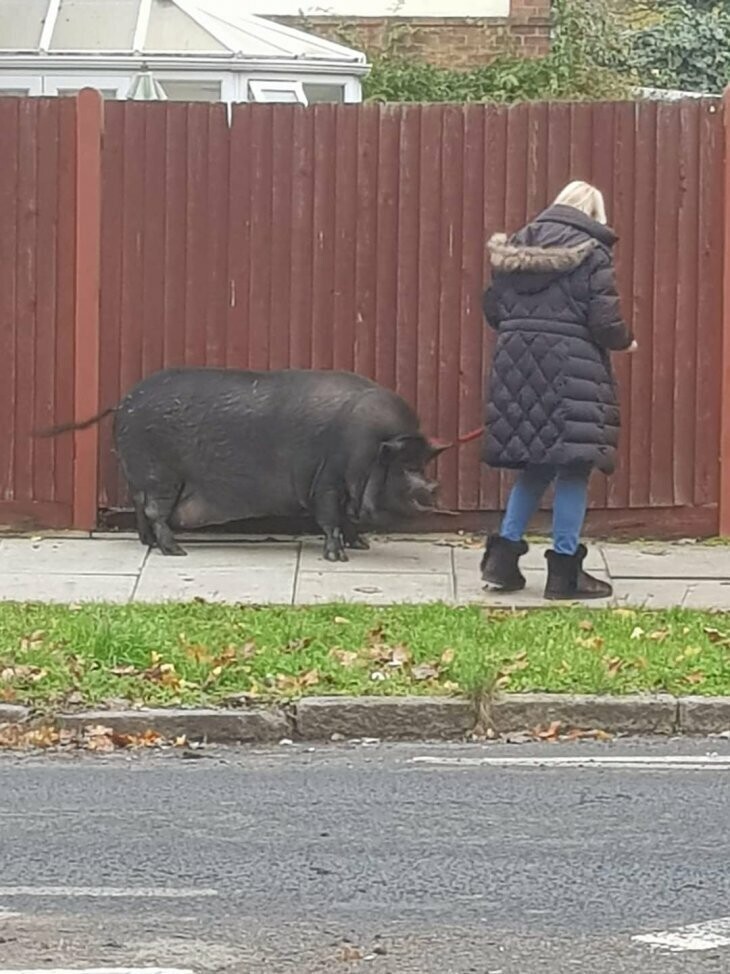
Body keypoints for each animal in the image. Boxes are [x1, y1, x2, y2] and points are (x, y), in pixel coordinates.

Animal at [41, 368, 450, 564]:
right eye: (403, 467)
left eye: (422, 464)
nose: (432, 489)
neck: (362, 451)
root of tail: (122, 402)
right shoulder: (327, 483)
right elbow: (331, 519)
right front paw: (340, 558)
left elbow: (347, 521)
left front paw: (362, 545)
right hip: (160, 475)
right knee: (155, 511)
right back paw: (177, 552)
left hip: (143, 476)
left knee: (142, 510)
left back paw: (151, 545)